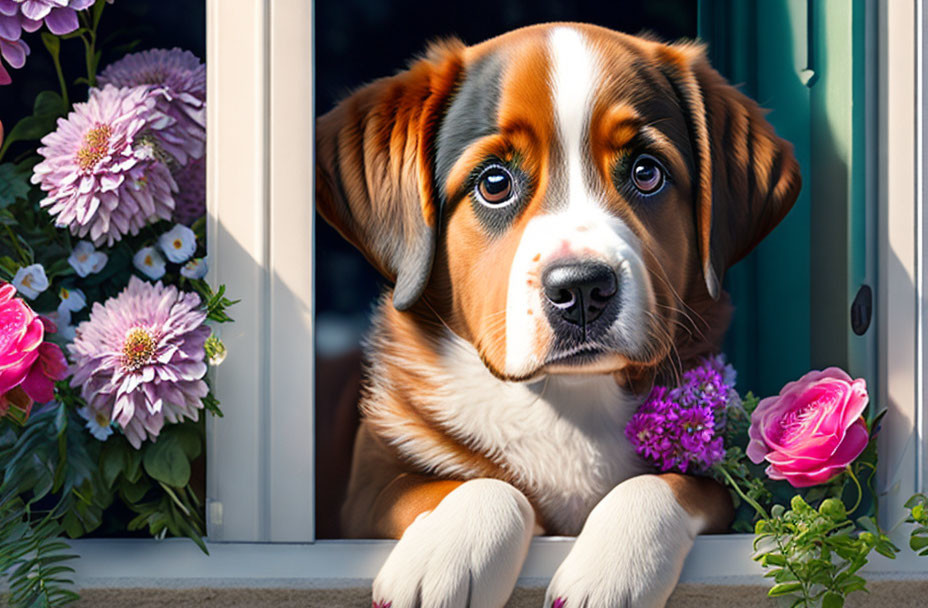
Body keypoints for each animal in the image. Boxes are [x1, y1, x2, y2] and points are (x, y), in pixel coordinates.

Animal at [316, 21, 800, 604]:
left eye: (647, 173)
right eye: (494, 183)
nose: (582, 289)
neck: (567, 402)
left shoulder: (715, 475)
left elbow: (678, 483)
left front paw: (613, 567)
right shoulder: (363, 494)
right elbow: (473, 485)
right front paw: (446, 554)